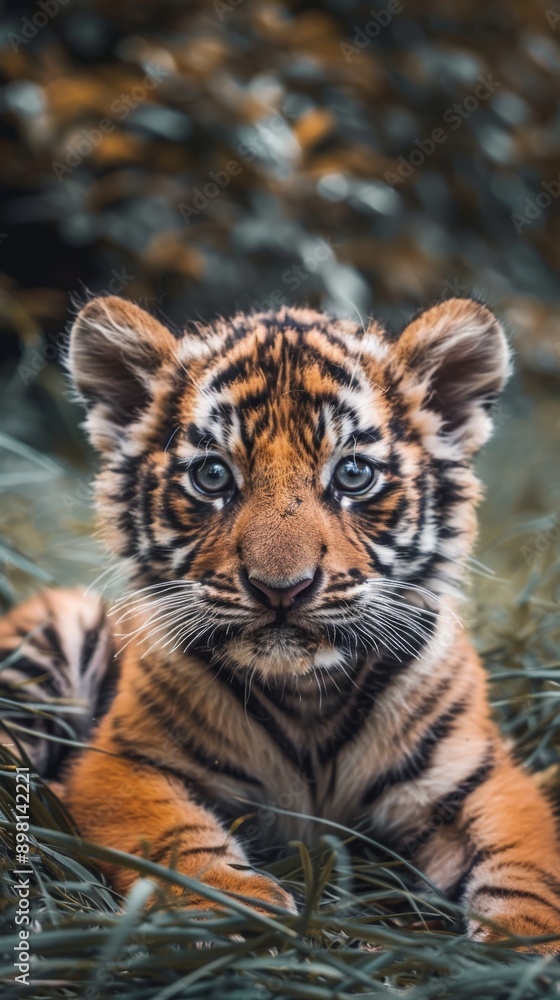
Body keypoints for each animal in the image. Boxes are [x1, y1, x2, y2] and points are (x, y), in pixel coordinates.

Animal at [2, 293, 560, 950]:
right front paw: (232, 913)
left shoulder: (482, 778)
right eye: (213, 476)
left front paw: (526, 947)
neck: (308, 696)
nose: (281, 589)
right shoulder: (123, 764)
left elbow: (528, 867)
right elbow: (176, 842)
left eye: (353, 475)